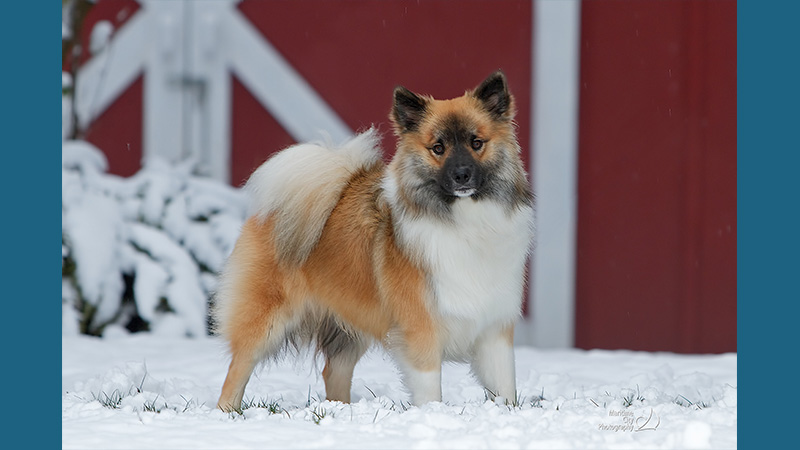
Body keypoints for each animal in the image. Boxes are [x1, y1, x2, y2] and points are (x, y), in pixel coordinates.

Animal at [216, 70, 536, 412]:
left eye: (477, 143)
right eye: (438, 148)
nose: (462, 175)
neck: (464, 222)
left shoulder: (493, 331)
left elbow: (505, 388)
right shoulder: (421, 332)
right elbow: (430, 391)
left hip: (348, 326)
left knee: (334, 371)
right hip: (266, 322)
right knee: (237, 370)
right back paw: (228, 413)